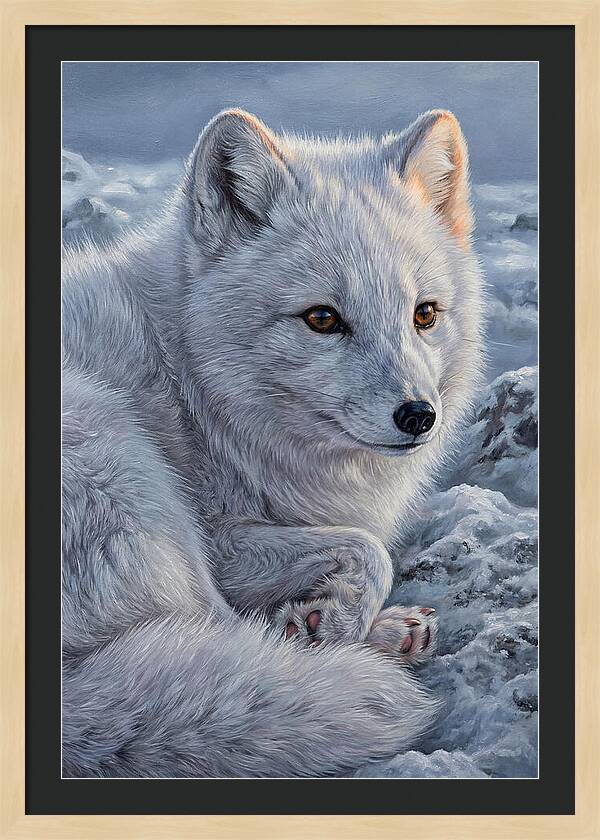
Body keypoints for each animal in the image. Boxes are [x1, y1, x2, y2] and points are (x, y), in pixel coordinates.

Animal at [61, 107, 484, 777]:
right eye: (322, 319)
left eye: (424, 314)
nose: (419, 416)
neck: (189, 381)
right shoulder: (220, 537)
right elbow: (370, 549)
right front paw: (333, 622)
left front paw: (329, 617)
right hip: (121, 462)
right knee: (218, 629)